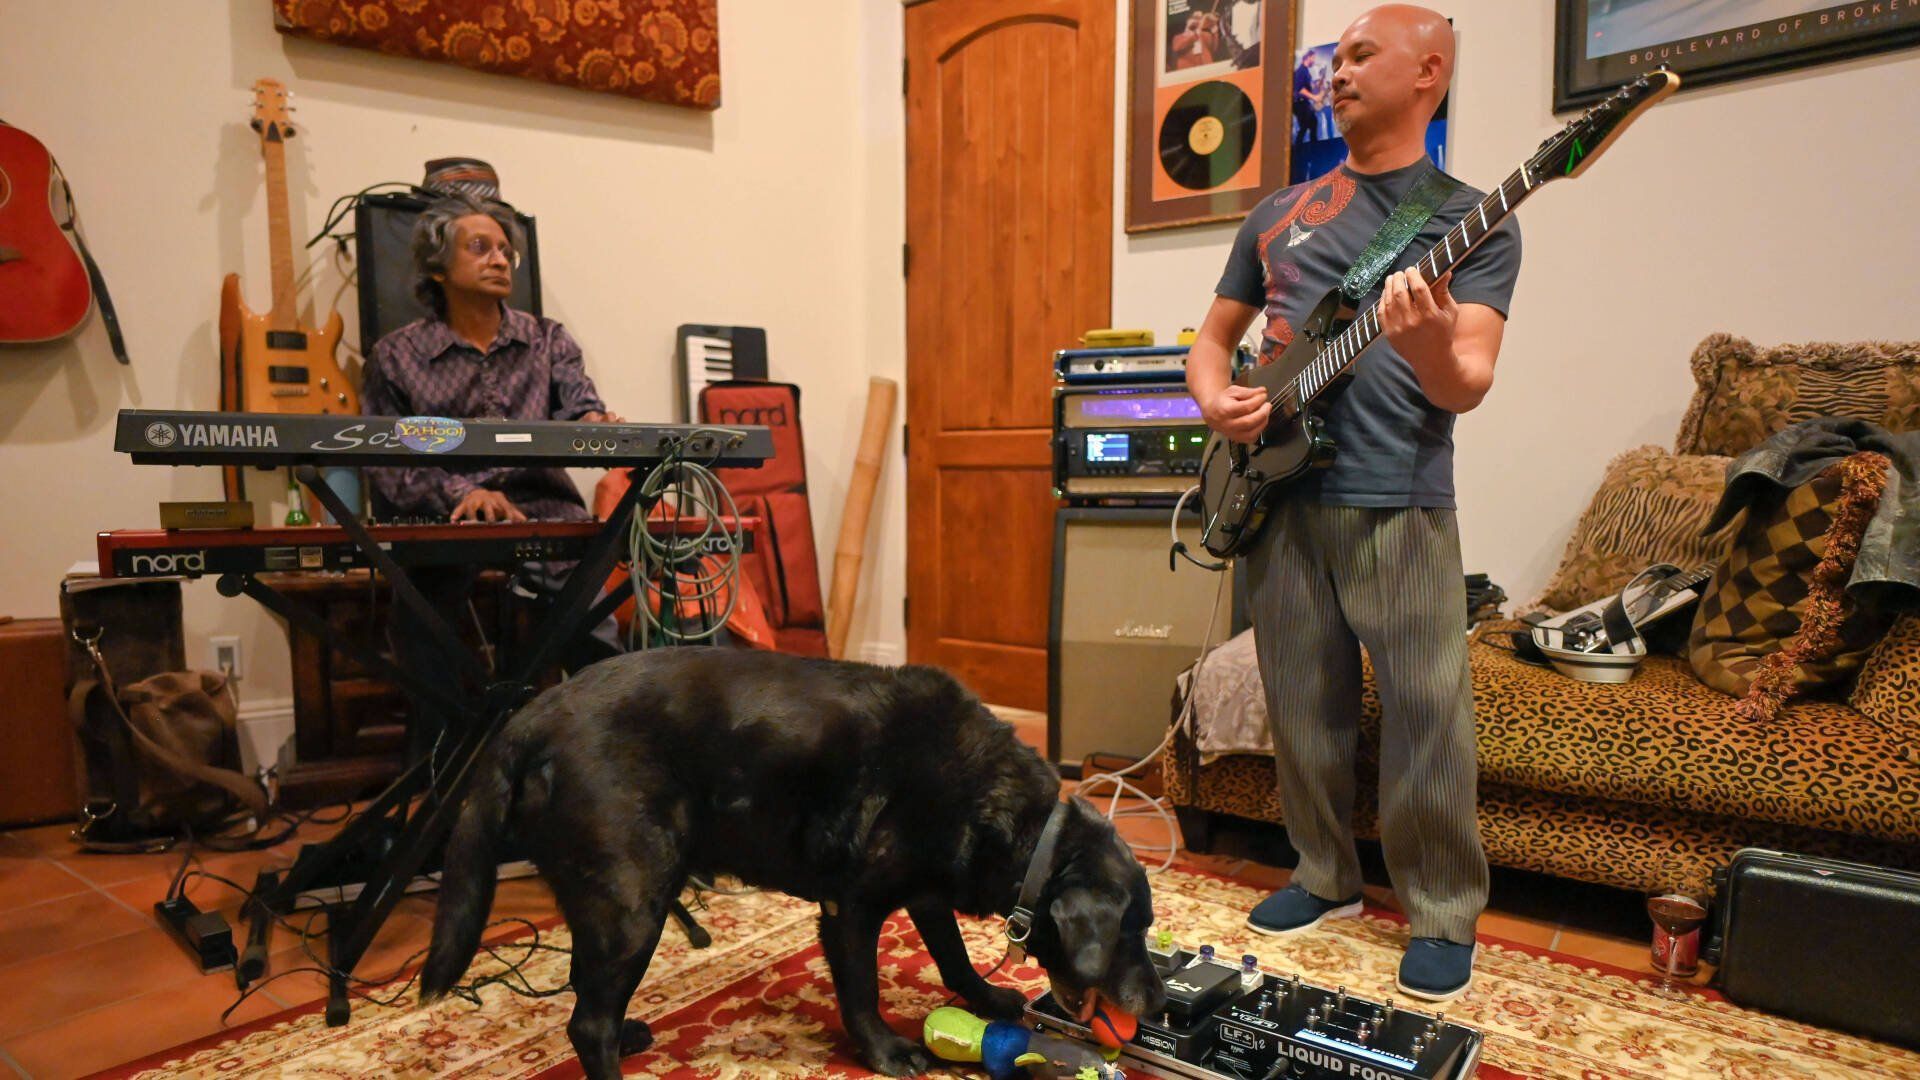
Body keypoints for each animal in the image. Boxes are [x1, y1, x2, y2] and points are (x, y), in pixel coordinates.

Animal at [420, 647, 1166, 1078]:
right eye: (1130, 933)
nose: (1157, 1004)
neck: (1019, 825)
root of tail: (525, 719)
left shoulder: (926, 892)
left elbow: (953, 954)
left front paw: (985, 997)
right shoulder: (851, 909)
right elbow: (862, 991)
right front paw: (887, 1053)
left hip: (601, 900)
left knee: (586, 992)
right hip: (635, 902)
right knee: (588, 1023)